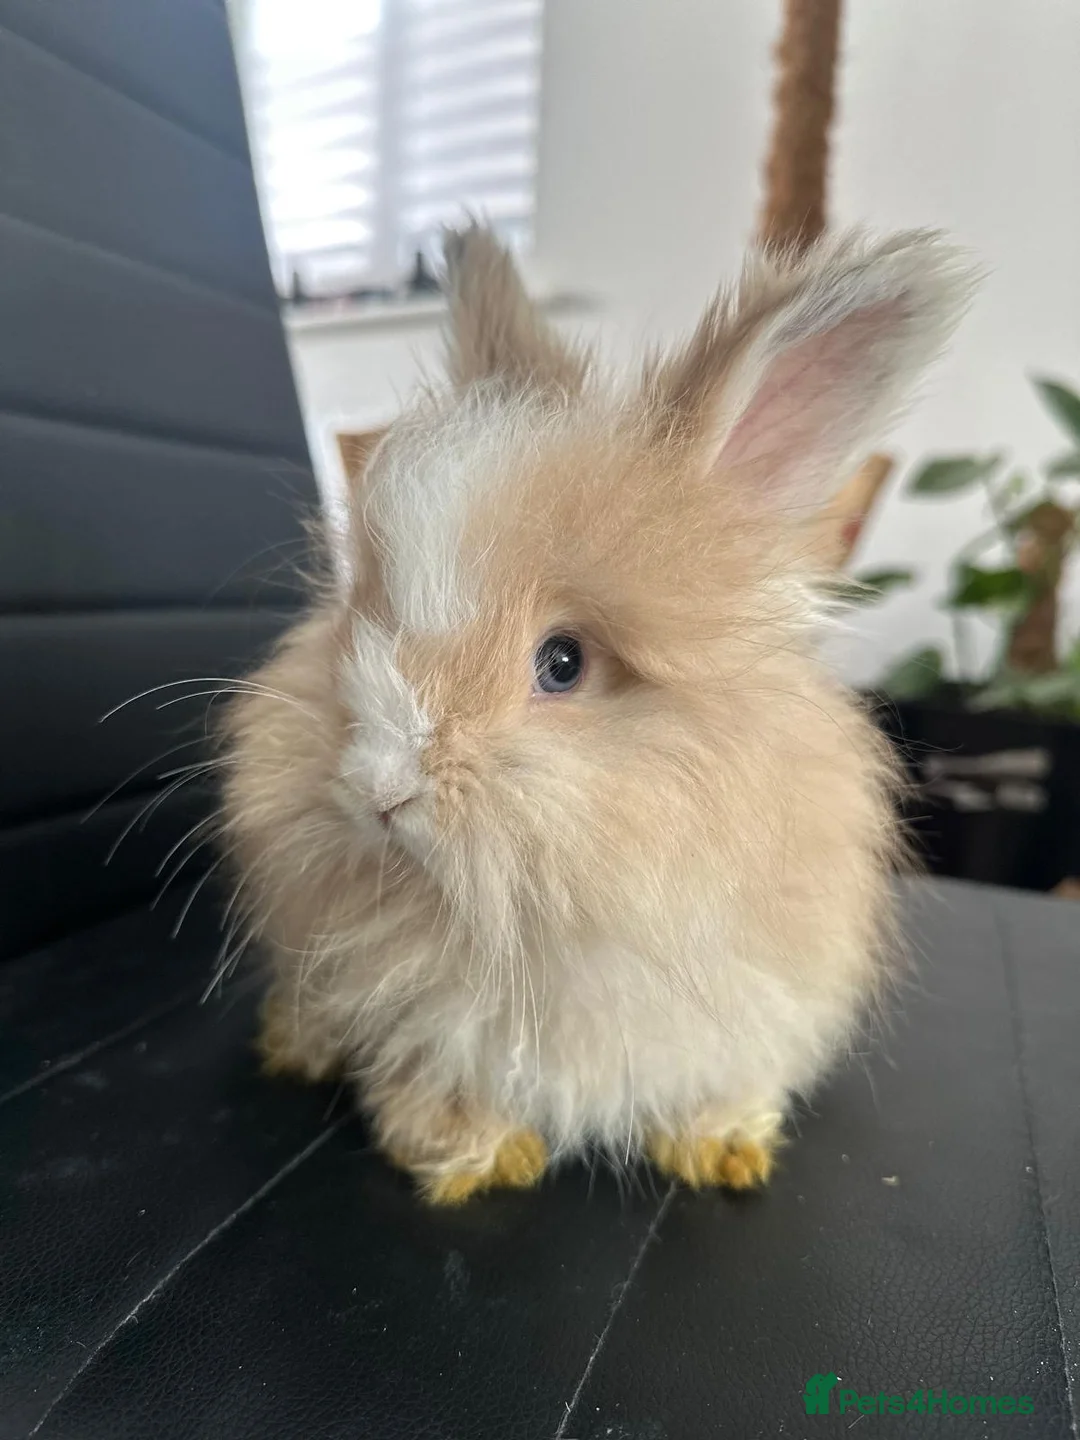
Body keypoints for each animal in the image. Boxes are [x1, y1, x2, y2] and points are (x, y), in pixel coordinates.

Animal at [220, 224, 972, 1204]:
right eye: (361, 617)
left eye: (564, 662)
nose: (377, 789)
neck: (541, 923)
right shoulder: (422, 1028)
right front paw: (475, 1158)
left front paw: (723, 1149)